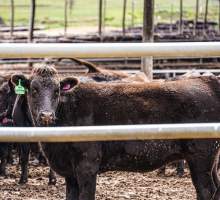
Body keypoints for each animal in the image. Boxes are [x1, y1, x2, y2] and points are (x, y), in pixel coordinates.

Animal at [10, 65, 220, 200]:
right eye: (34, 89)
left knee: (206, 191)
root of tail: (208, 80)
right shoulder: (70, 172)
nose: (46, 115)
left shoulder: (87, 165)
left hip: (201, 157)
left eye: (57, 91)